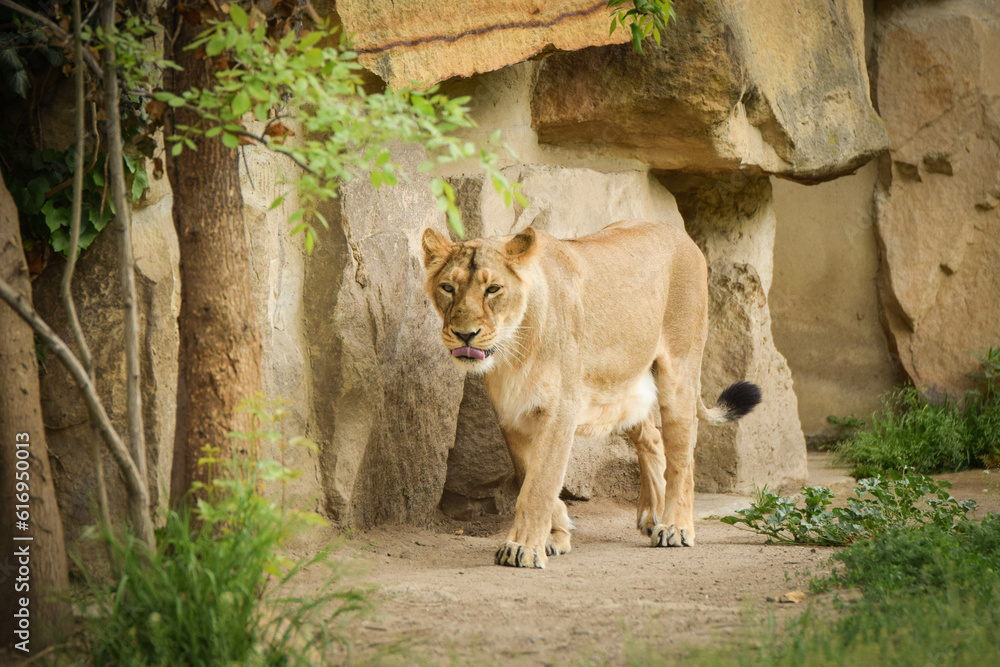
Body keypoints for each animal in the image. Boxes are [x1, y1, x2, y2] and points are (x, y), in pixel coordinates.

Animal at [421, 220, 761, 569]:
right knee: (652, 439)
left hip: (679, 370)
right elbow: (529, 474)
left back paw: (675, 527)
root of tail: (679, 231)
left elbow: (540, 484)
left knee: (682, 457)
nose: (465, 335)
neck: (513, 347)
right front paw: (555, 536)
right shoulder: (512, 413)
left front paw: (523, 547)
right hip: (622, 387)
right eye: (447, 288)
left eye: (493, 289)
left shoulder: (560, 409)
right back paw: (652, 515)